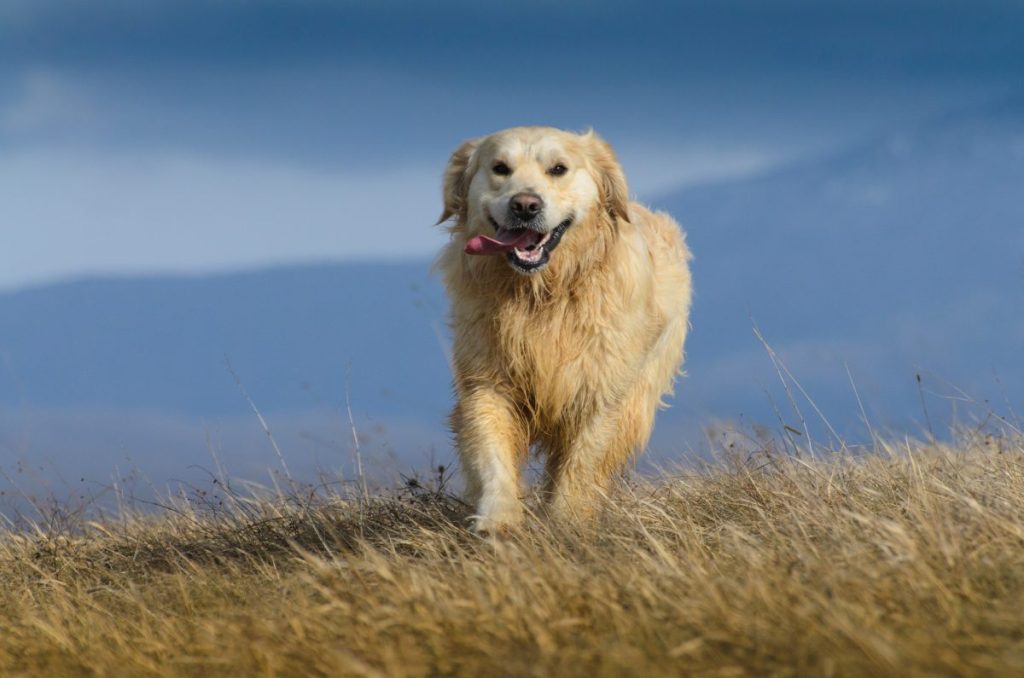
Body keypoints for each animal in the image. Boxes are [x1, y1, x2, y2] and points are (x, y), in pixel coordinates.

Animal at [436, 124, 692, 532]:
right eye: (499, 168)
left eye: (558, 169)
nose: (525, 205)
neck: (542, 295)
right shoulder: (487, 382)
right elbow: (490, 453)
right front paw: (498, 519)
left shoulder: (600, 390)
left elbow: (583, 461)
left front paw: (566, 521)